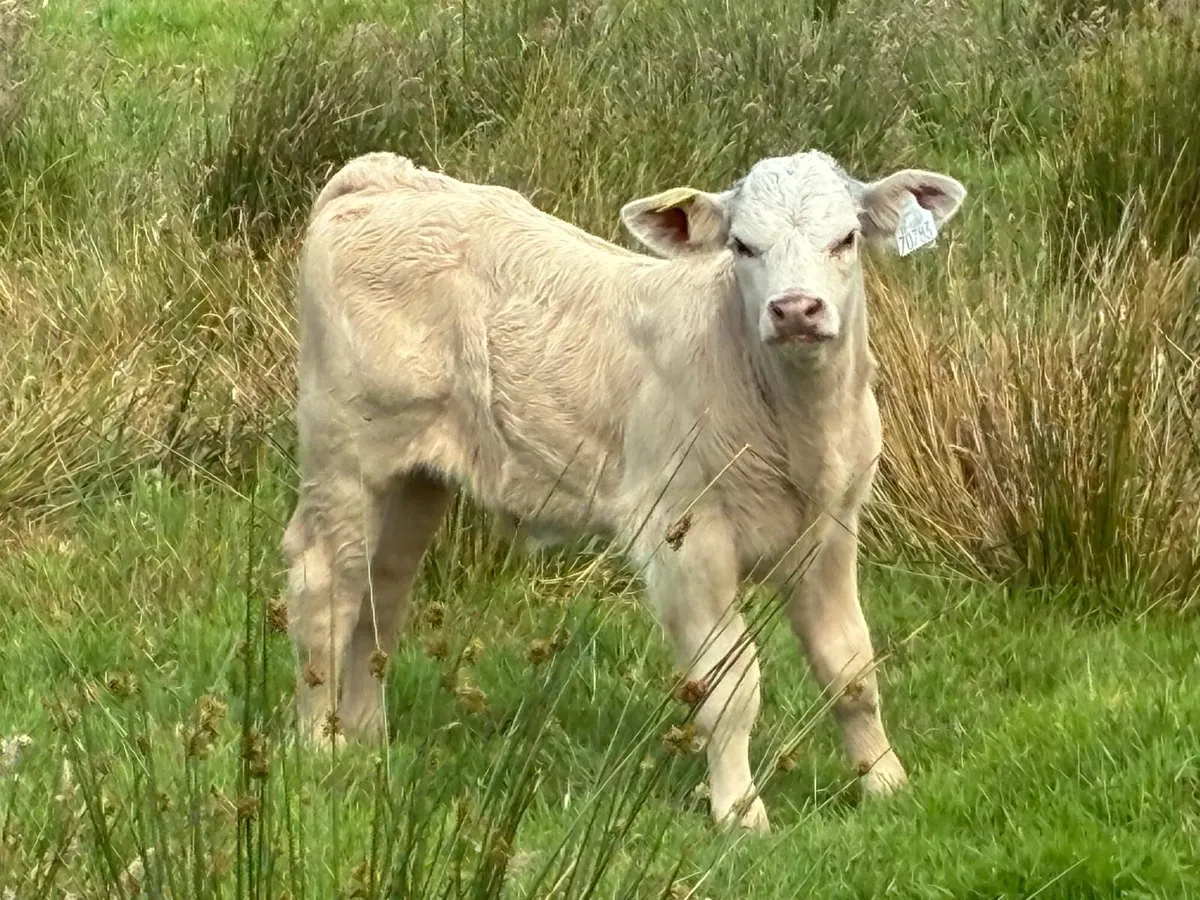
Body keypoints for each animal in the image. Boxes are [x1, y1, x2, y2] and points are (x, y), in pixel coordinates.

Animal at [283, 149, 966, 832]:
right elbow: (730, 684)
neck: (797, 427)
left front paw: (885, 782)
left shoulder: (832, 529)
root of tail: (383, 176)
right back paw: (322, 745)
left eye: (845, 239)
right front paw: (740, 812)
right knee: (325, 587)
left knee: (383, 588)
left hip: (416, 476)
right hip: (343, 457)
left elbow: (850, 665)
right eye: (742, 246)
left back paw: (368, 735)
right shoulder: (683, 537)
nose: (796, 309)